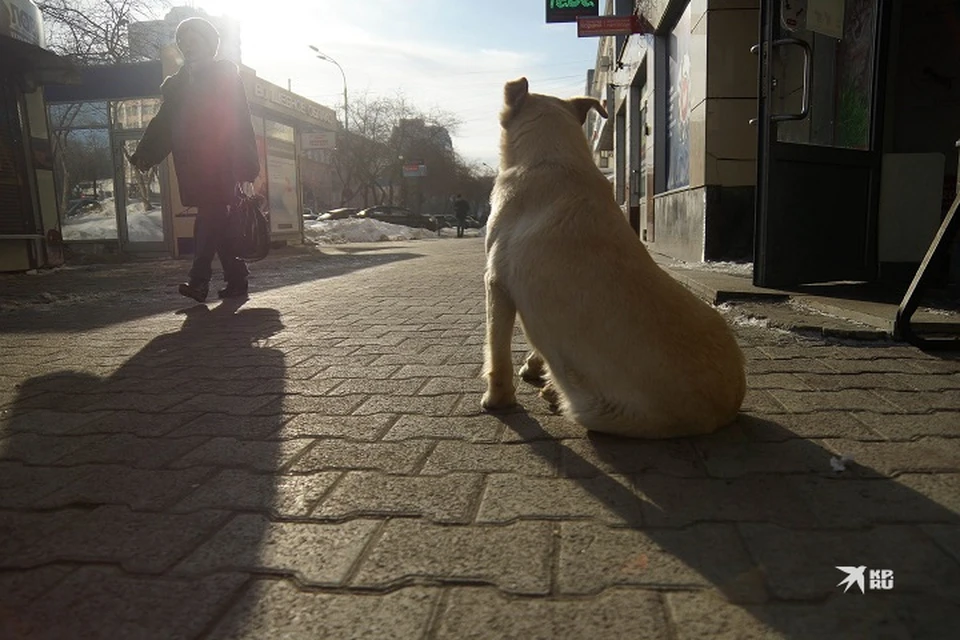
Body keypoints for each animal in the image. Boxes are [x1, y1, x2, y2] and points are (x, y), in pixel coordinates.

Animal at [484, 77, 748, 438]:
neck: (552, 157)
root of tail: (729, 409)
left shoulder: (496, 283)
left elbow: (496, 352)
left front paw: (497, 399)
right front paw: (533, 367)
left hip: (598, 410)